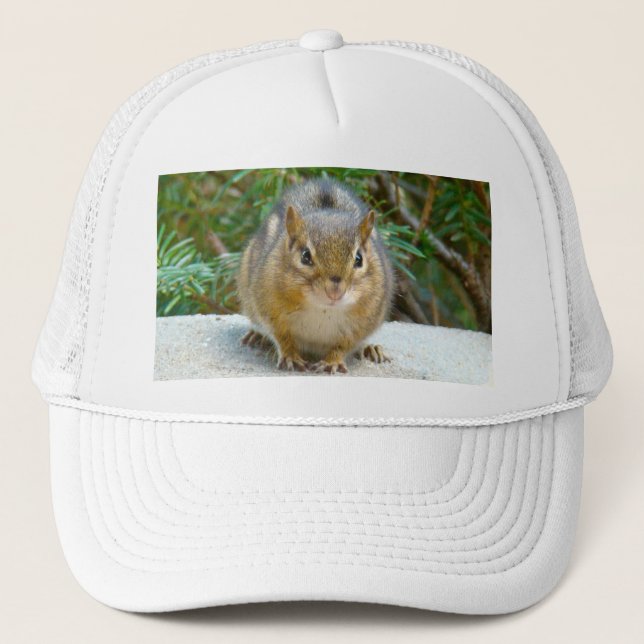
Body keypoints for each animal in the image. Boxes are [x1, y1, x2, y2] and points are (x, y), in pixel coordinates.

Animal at [237, 178, 394, 373]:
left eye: (359, 259)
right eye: (305, 256)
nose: (335, 292)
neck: (323, 309)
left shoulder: (363, 322)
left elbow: (344, 345)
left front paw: (332, 362)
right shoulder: (269, 308)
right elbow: (282, 337)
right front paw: (290, 356)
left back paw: (371, 349)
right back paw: (256, 335)